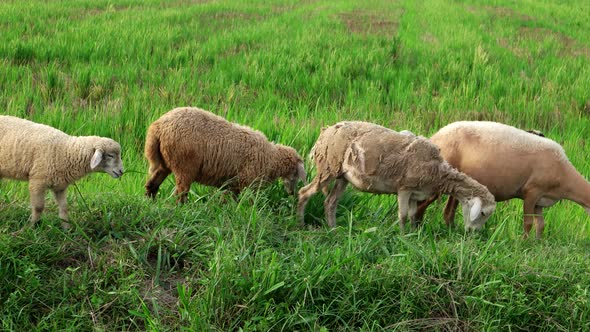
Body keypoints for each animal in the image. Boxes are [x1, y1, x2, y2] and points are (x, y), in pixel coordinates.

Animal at [145, 106, 308, 202]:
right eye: (296, 174)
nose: (292, 193)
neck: (271, 158)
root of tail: (158, 127)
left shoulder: (233, 182)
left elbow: (231, 199)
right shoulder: (244, 180)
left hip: (165, 162)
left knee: (152, 184)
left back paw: (150, 202)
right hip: (184, 165)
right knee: (180, 193)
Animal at [298, 120, 498, 232]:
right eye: (482, 213)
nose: (473, 233)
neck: (439, 173)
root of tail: (325, 132)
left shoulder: (415, 194)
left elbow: (412, 215)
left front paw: (413, 235)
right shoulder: (404, 188)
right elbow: (402, 215)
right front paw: (402, 237)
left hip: (342, 177)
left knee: (330, 202)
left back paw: (333, 229)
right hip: (327, 168)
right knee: (304, 192)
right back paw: (300, 223)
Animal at [414, 121, 590, 239]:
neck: (565, 177)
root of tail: (435, 137)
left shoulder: (540, 200)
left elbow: (540, 224)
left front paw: (538, 243)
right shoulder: (531, 192)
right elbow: (528, 223)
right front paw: (524, 243)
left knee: (448, 211)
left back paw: (451, 230)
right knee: (422, 203)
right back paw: (417, 226)